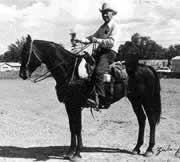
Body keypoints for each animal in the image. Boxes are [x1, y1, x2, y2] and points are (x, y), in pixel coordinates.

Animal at [19, 34, 162, 160]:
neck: (70, 71)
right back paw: (136, 148)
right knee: (142, 119)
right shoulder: (69, 105)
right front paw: (70, 152)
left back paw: (149, 149)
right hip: (135, 100)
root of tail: (147, 67)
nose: (22, 74)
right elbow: (72, 127)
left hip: (147, 99)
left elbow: (77, 127)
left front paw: (77, 154)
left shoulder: (75, 105)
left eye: (26, 52)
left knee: (151, 120)